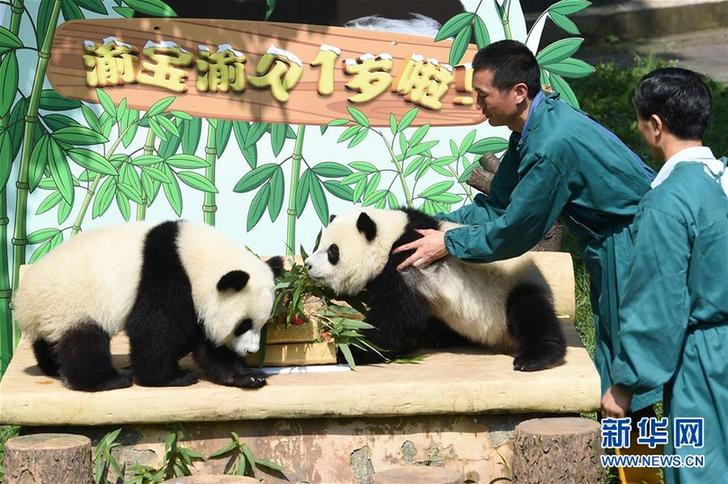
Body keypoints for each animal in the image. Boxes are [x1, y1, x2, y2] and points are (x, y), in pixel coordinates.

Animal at [13, 221, 284, 392]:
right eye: (243, 325)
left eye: (260, 324)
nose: (250, 351)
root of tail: (23, 303)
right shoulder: (165, 273)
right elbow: (154, 327)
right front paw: (172, 378)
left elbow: (207, 344)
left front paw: (246, 376)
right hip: (72, 304)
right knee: (84, 343)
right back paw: (107, 380)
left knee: (51, 342)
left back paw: (52, 367)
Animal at [304, 208, 564, 370]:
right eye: (318, 245)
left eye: (332, 252)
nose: (307, 265)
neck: (390, 237)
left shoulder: (406, 261)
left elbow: (398, 315)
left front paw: (351, 348)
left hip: (512, 289)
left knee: (531, 312)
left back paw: (535, 358)